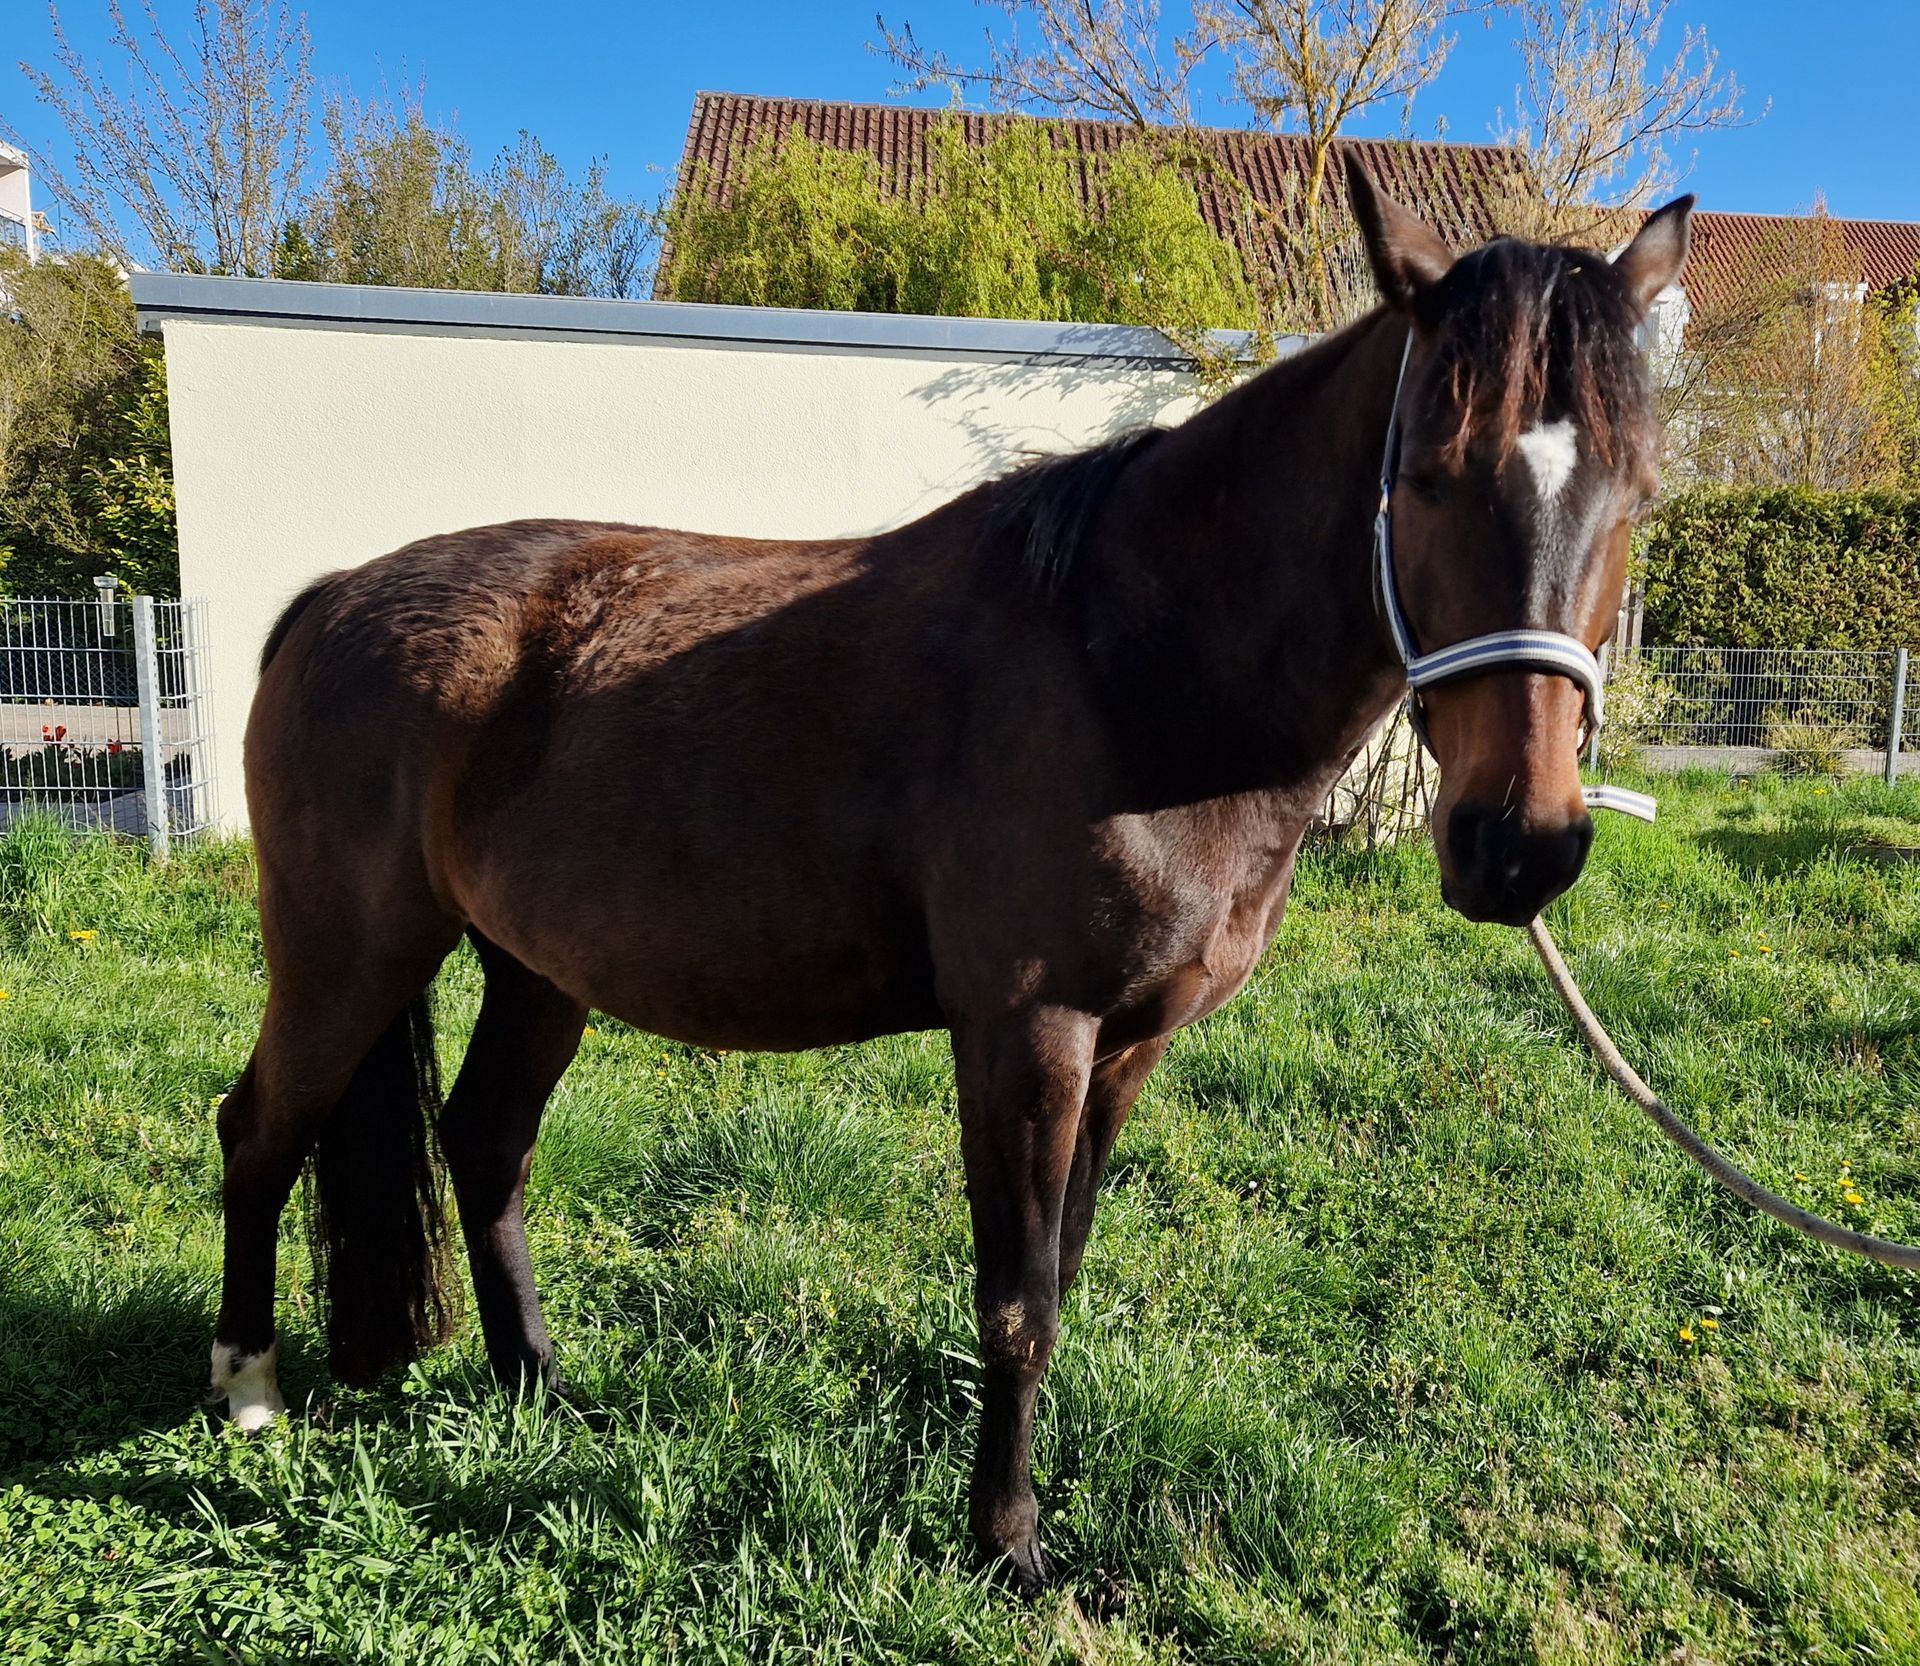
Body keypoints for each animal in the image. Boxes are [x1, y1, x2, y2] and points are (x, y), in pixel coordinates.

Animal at [209, 163, 1693, 1594]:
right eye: (1432, 474)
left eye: (1637, 496)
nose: (1522, 843)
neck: (1126, 669)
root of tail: (334, 597)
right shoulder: (1025, 1030)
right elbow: (1019, 1299)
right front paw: (1008, 1541)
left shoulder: (1129, 1043)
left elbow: (1063, 1274)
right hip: (348, 951)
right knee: (262, 1128)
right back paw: (248, 1389)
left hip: (534, 965)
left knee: (485, 1138)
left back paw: (537, 1385)